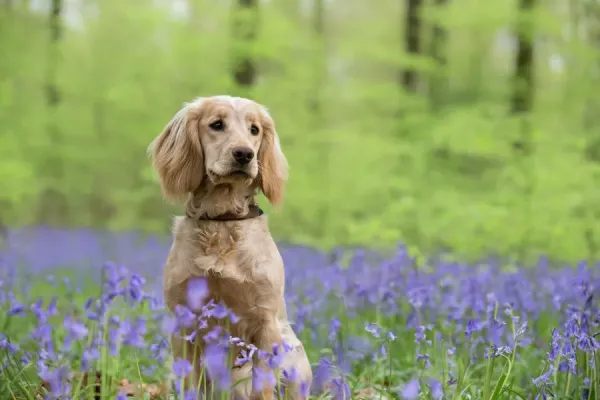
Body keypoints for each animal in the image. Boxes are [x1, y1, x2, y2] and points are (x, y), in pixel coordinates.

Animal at [148, 95, 312, 398]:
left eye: (254, 129)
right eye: (216, 124)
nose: (244, 154)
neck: (221, 222)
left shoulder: (264, 322)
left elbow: (263, 386)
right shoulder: (184, 322)